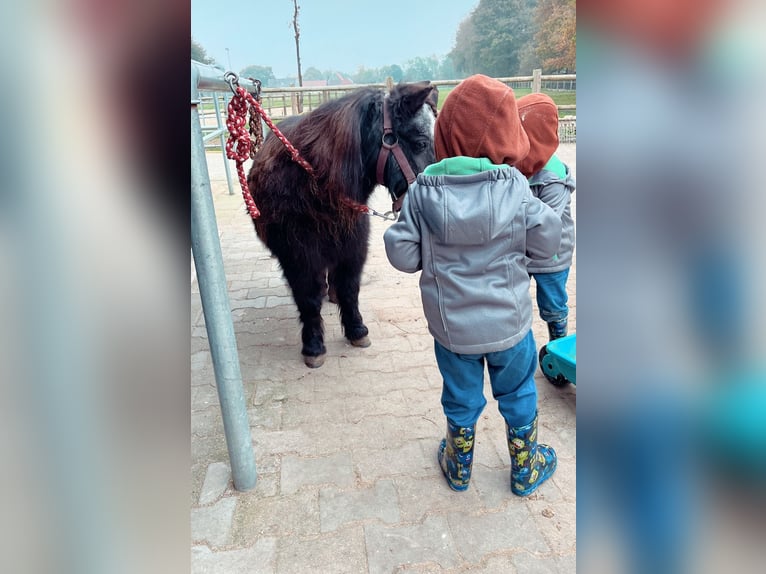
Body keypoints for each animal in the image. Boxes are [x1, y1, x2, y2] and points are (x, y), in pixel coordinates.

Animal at [246, 81, 438, 368]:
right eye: (421, 142)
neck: (316, 185)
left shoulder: (353, 246)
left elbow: (349, 289)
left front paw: (357, 330)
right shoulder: (299, 257)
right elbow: (309, 299)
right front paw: (314, 346)